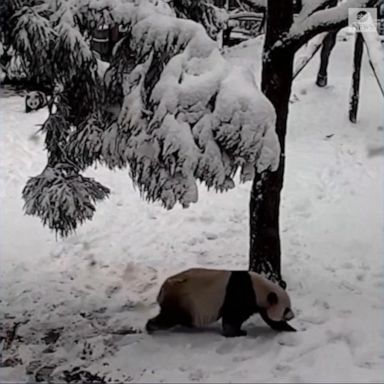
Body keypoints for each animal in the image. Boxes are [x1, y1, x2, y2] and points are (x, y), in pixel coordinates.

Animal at [146, 268, 296, 338]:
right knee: (169, 318)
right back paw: (150, 327)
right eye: (286, 309)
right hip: (182, 300)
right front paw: (238, 333)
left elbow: (271, 320)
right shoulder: (240, 295)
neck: (258, 288)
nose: (292, 316)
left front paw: (291, 329)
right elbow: (233, 317)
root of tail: (162, 290)